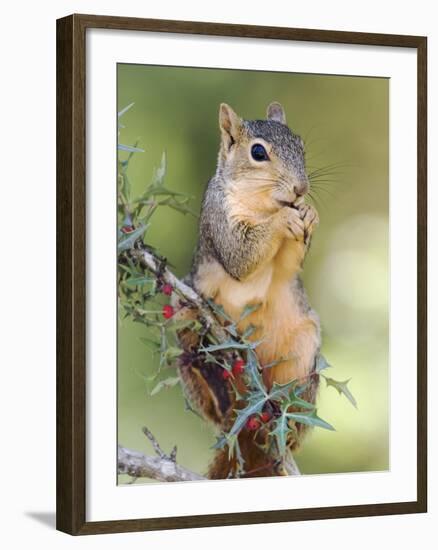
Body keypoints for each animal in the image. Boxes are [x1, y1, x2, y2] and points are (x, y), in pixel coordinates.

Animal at [173, 101, 320, 480]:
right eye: (258, 152)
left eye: (301, 145)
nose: (301, 189)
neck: (264, 204)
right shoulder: (219, 219)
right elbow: (241, 256)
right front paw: (283, 220)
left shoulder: (287, 268)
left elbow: (288, 266)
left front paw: (309, 212)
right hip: (183, 311)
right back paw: (216, 386)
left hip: (303, 351)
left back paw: (286, 422)